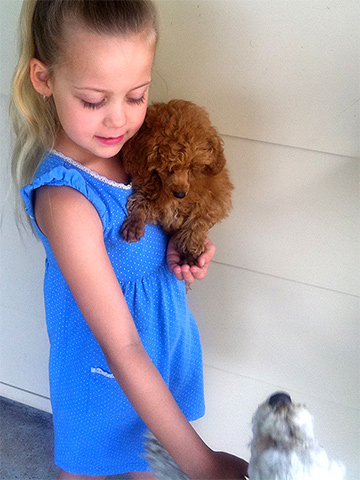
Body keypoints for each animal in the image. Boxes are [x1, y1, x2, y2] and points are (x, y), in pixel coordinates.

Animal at [121, 100, 233, 266]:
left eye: (192, 168)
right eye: (169, 168)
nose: (180, 194)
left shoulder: (214, 197)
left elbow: (198, 221)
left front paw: (191, 252)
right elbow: (140, 202)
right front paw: (134, 224)